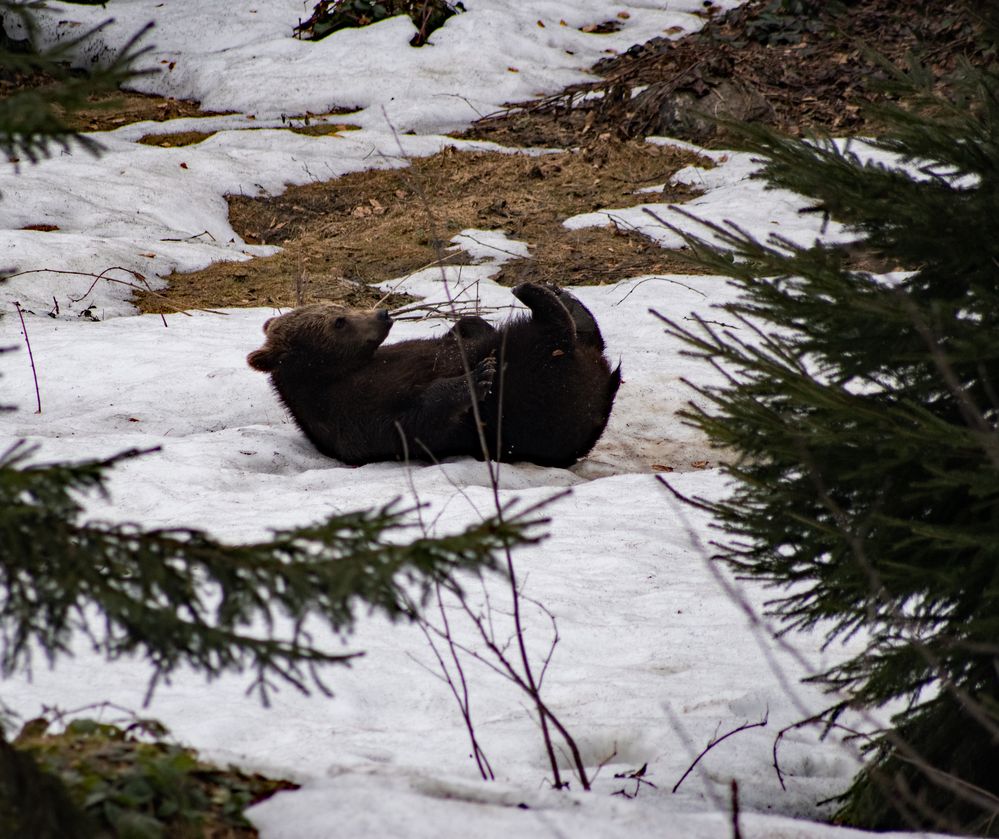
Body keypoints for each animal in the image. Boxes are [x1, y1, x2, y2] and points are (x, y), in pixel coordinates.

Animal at [246, 306, 496, 466]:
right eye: (339, 321)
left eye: (340, 305)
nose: (382, 314)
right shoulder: (356, 416)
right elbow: (418, 421)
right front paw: (477, 377)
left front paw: (472, 325)